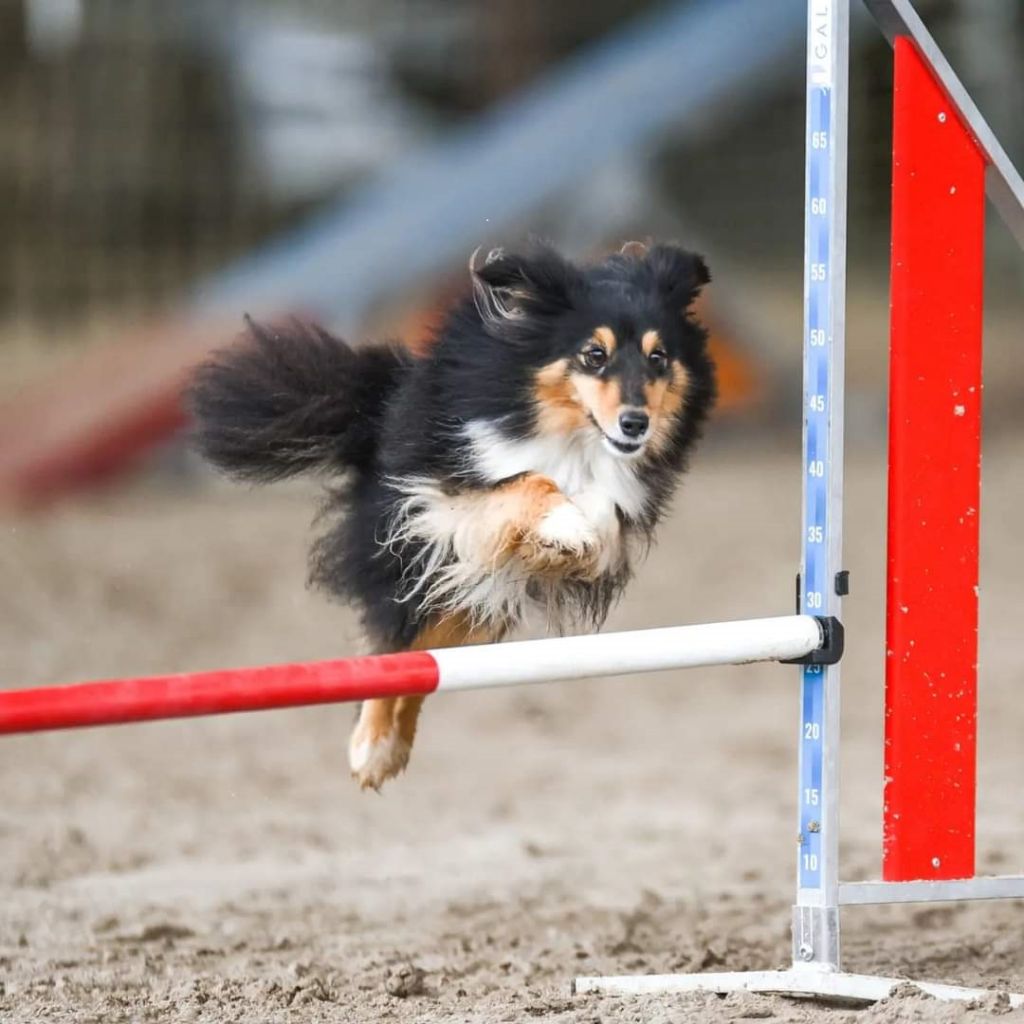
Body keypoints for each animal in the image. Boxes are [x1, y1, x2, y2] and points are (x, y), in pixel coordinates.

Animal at [188, 243, 716, 786]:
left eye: (658, 357)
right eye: (594, 354)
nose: (636, 423)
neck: (569, 434)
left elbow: (600, 512)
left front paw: (572, 533)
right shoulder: (441, 501)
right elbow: (528, 480)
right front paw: (564, 524)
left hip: (478, 594)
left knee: (425, 659)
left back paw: (391, 749)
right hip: (416, 562)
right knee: (391, 645)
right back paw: (370, 748)